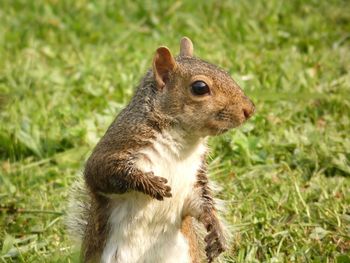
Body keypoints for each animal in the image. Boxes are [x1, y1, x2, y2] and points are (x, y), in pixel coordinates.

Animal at [68, 37, 254, 263]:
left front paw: (216, 231)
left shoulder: (194, 179)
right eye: (200, 87)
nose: (249, 110)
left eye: (225, 71)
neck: (182, 143)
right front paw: (150, 183)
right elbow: (100, 171)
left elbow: (202, 203)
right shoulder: (119, 143)